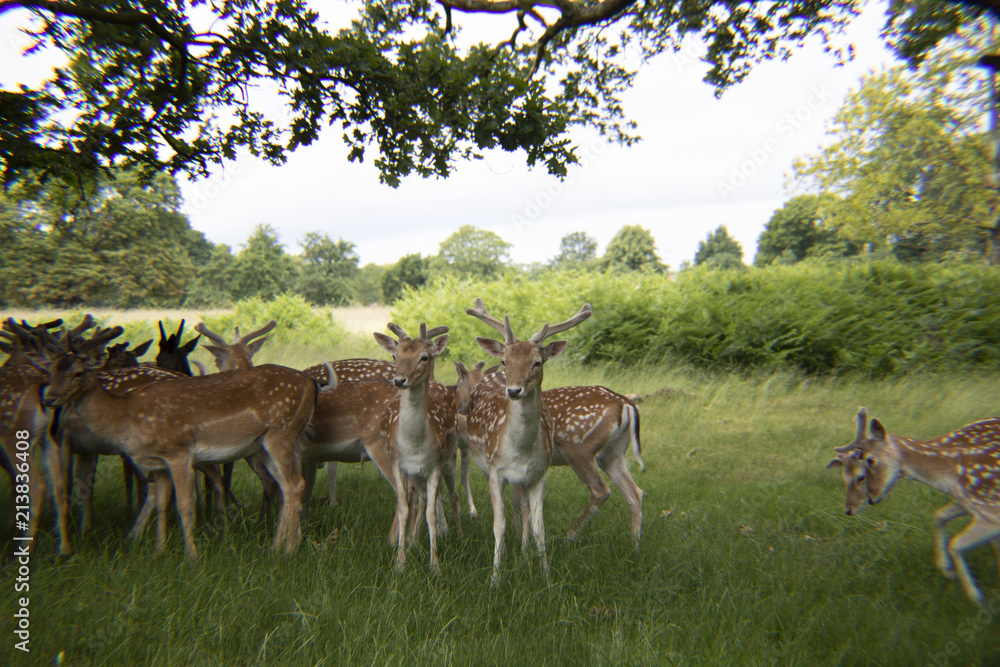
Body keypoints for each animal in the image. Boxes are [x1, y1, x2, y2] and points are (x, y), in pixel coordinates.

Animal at [43, 347, 329, 559]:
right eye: (50, 371)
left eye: (78, 373)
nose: (49, 399)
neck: (127, 418)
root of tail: (311, 383)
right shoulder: (158, 463)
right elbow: (161, 504)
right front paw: (158, 552)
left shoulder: (178, 451)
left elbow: (184, 505)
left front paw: (191, 556)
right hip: (265, 445)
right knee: (285, 486)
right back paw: (277, 546)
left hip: (282, 433)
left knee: (294, 484)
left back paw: (287, 550)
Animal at [373, 322, 460, 575]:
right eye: (395, 355)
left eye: (424, 357)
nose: (400, 380)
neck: (414, 444)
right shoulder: (397, 464)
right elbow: (404, 509)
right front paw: (400, 563)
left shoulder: (435, 466)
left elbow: (432, 512)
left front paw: (435, 566)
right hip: (415, 473)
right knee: (419, 499)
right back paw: (413, 543)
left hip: (450, 459)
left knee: (452, 496)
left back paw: (459, 538)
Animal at [465, 298, 592, 585]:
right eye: (504, 360)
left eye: (537, 362)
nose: (513, 390)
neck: (520, 451)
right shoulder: (495, 471)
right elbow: (498, 525)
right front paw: (495, 579)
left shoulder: (538, 474)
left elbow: (538, 526)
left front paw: (546, 577)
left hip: (522, 480)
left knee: (521, 507)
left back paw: (524, 554)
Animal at [828, 407, 1000, 606]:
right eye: (843, 476)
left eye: (861, 474)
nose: (849, 509)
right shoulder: (968, 505)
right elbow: (939, 516)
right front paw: (948, 571)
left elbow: (958, 542)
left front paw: (977, 596)